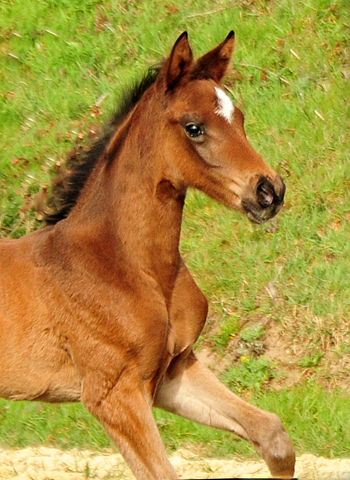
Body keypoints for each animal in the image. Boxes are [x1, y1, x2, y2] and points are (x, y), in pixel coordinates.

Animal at [0, 31, 296, 478]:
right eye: (194, 127)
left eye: (240, 118)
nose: (269, 191)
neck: (130, 266)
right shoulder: (112, 394)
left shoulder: (173, 372)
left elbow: (273, 436)